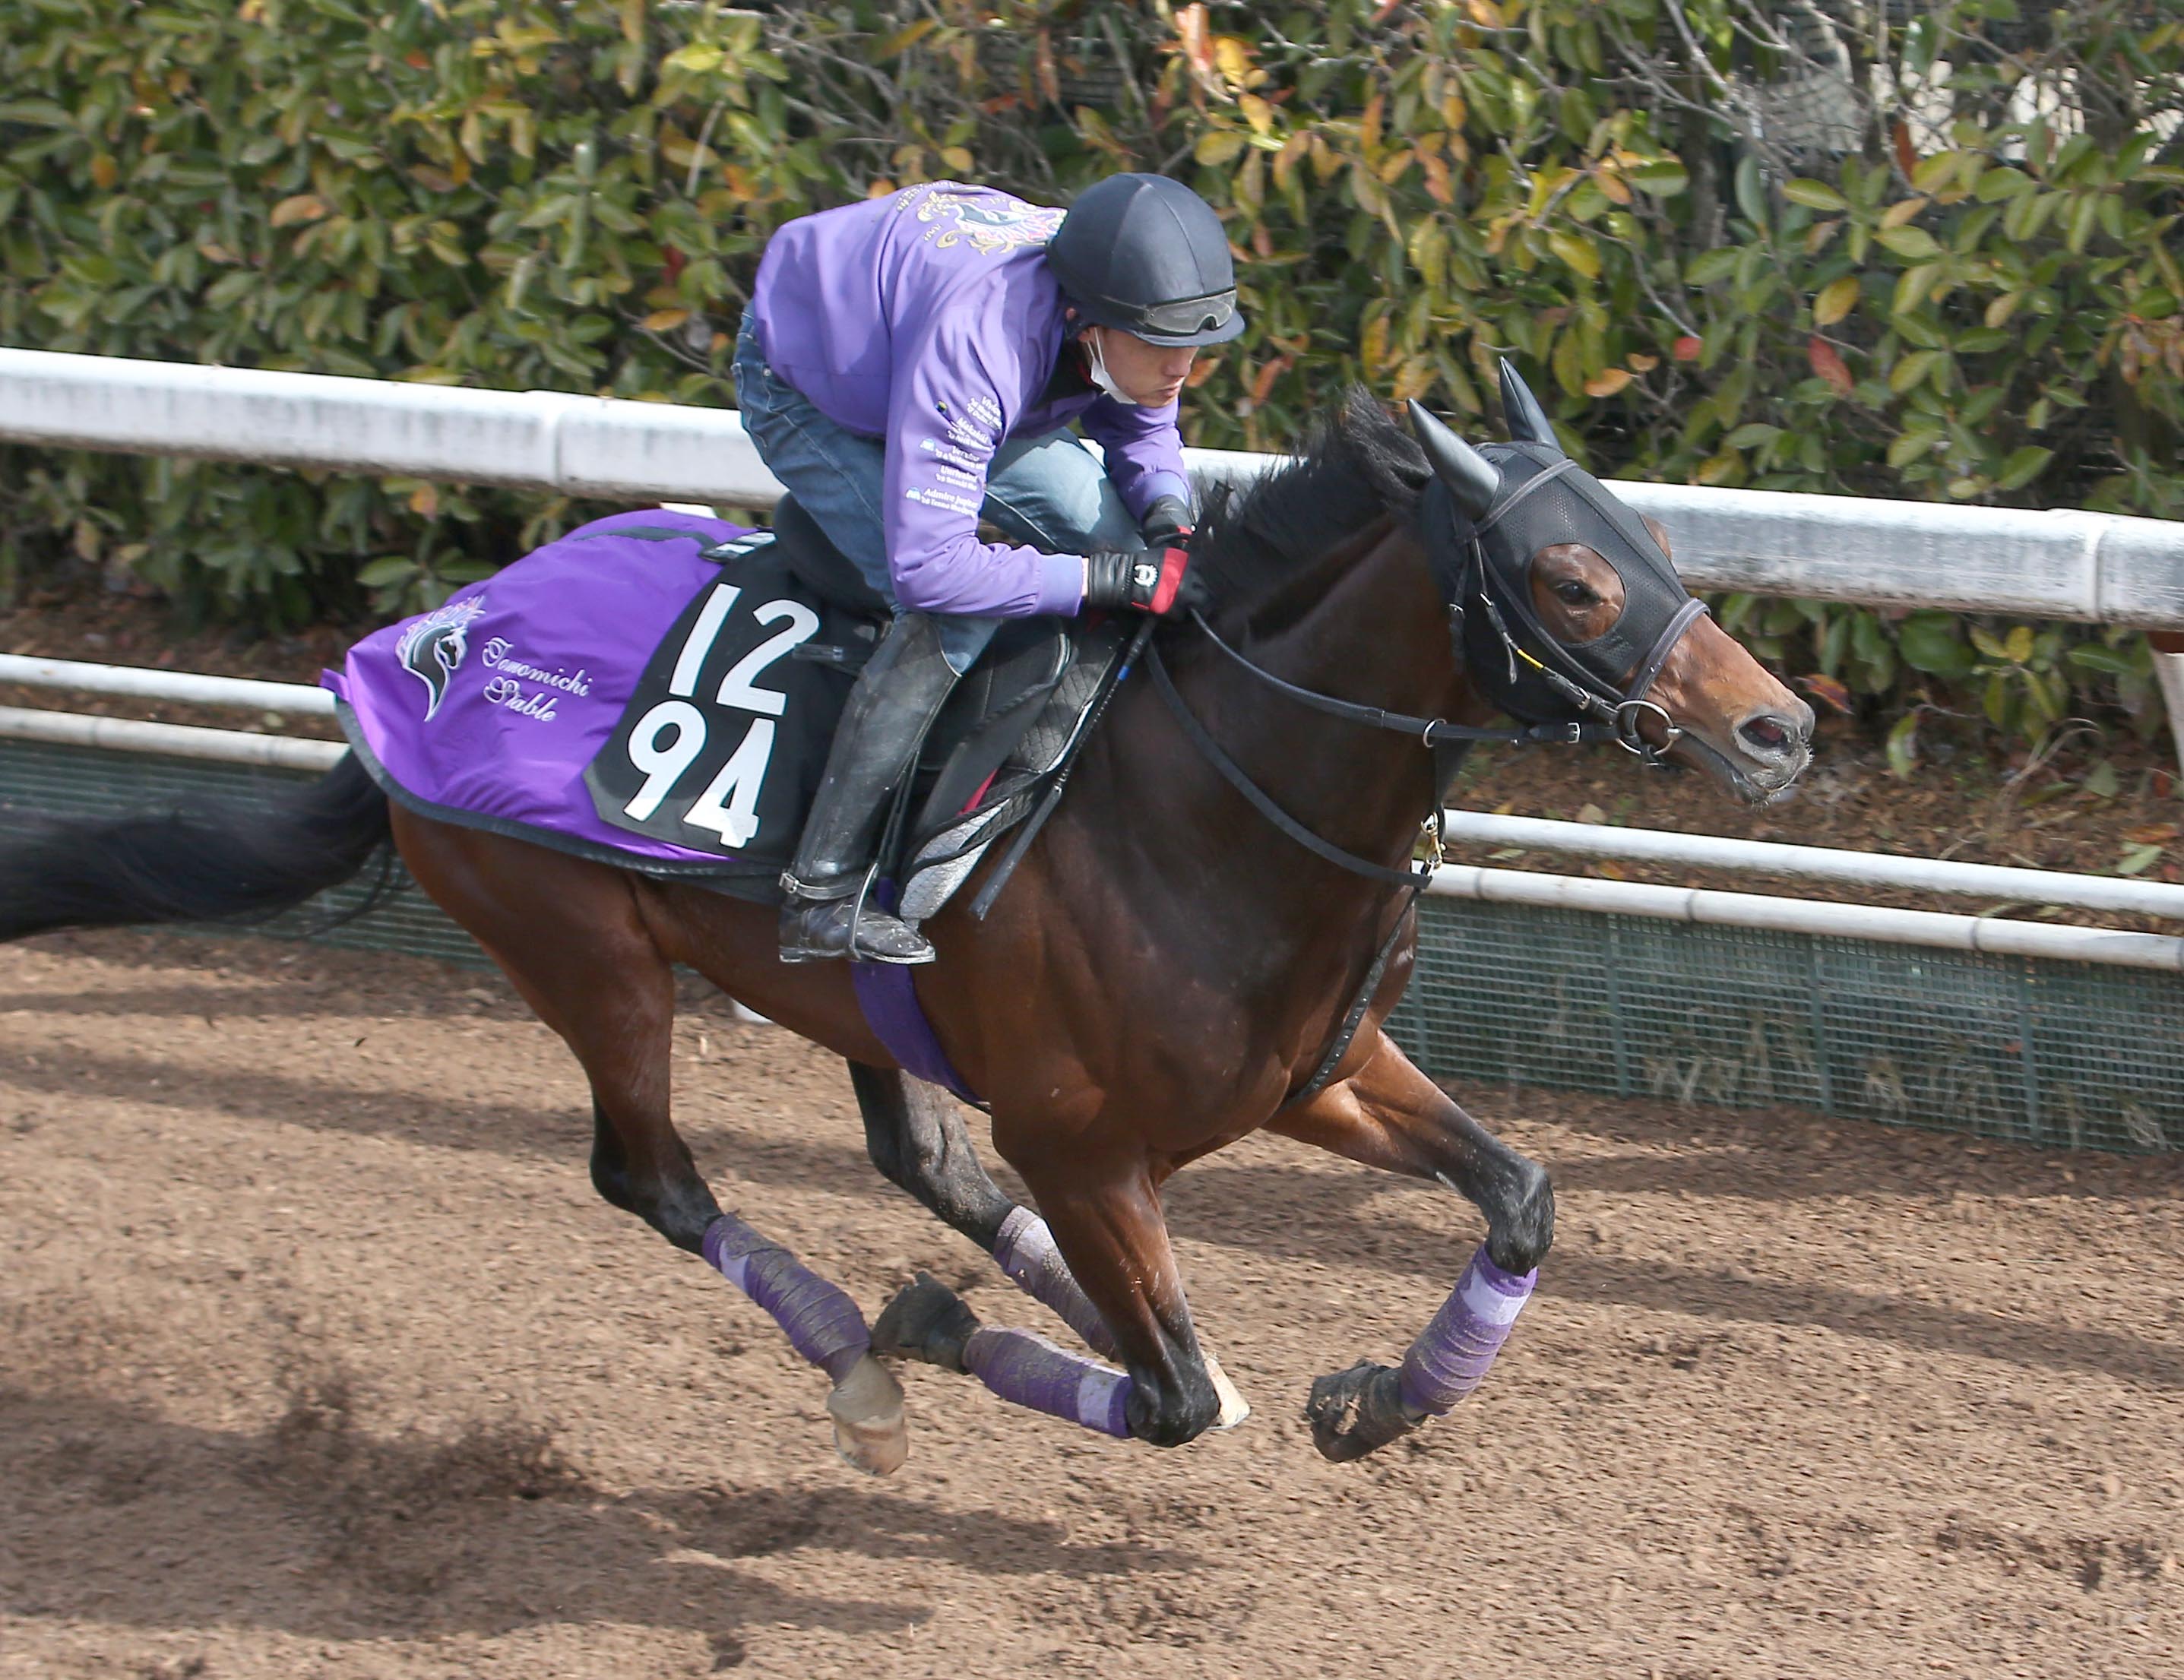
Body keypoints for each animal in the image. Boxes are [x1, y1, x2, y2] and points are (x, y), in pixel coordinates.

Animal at [0, 375, 1808, 1468]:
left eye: (1658, 541)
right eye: (1572, 582)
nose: (1778, 728)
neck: (1204, 805)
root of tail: (421, 649)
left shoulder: (1315, 1072)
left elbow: (1522, 1198)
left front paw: (1370, 1400)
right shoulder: (1084, 1146)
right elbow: (1163, 1402)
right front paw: (936, 1330)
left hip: (846, 998)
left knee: (919, 1154)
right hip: (583, 950)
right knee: (653, 1177)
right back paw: (863, 1361)